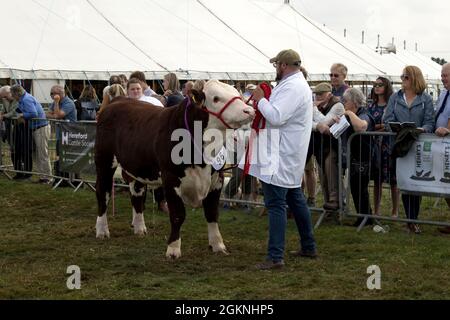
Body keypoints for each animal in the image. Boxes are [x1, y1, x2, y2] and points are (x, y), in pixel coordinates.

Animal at [94, 79, 256, 258]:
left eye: (236, 93)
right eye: (216, 98)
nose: (249, 110)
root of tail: (119, 100)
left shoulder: (217, 179)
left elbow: (212, 213)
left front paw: (218, 245)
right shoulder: (170, 179)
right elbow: (178, 215)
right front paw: (173, 249)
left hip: (137, 167)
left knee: (137, 194)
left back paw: (139, 228)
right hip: (104, 161)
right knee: (103, 193)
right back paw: (102, 230)